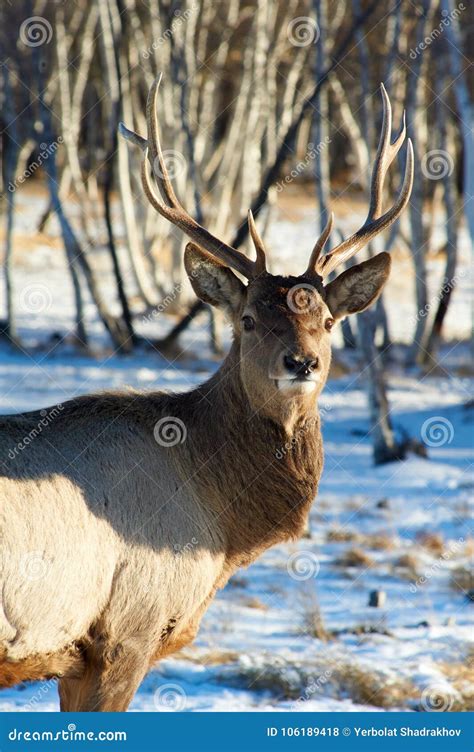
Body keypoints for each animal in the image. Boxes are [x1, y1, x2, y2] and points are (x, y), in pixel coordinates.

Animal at [0, 78, 412, 712]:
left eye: (327, 320)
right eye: (247, 319)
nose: (302, 362)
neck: (221, 525)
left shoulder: (78, 654)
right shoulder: (127, 628)